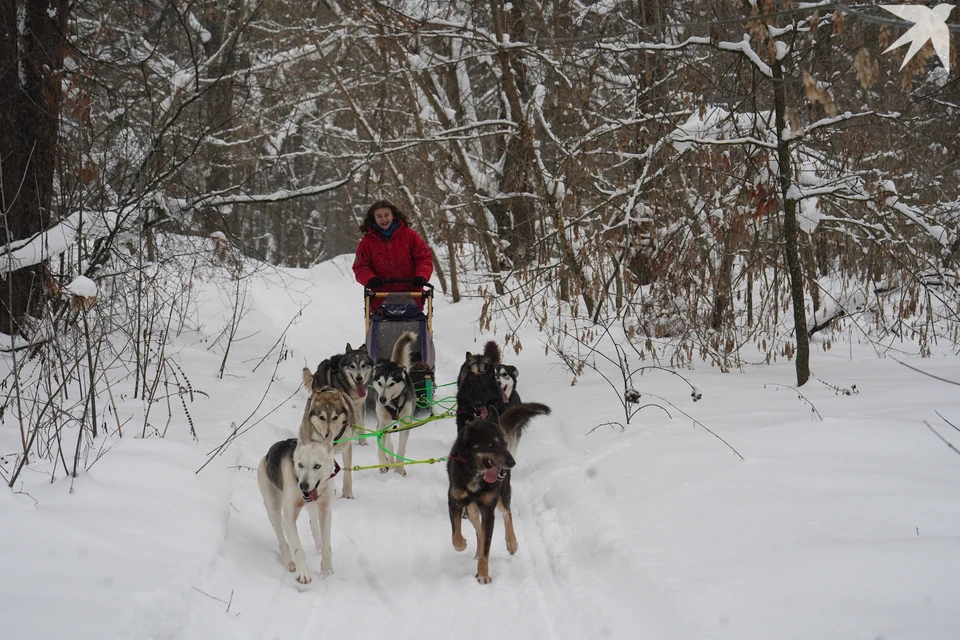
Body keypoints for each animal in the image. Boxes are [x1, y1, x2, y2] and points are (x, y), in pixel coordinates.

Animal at [256, 438, 340, 584]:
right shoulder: (288, 519)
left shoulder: (325, 511)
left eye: (317, 466)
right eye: (300, 465)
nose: (303, 485)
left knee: (314, 523)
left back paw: (318, 544)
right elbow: (297, 548)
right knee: (282, 540)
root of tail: (266, 456)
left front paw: (326, 569)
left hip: (312, 507)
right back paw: (289, 562)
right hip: (274, 510)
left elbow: (326, 545)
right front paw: (303, 573)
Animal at [370, 330, 418, 476]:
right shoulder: (382, 423)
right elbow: (381, 447)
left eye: (391, 384)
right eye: (380, 383)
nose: (382, 399)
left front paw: (399, 469)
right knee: (387, 442)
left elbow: (401, 449)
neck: (394, 403)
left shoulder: (405, 423)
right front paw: (383, 464)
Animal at [446, 404, 552, 584]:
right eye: (491, 444)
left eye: (505, 443)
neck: (476, 474)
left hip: (501, 498)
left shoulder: (489, 510)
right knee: (479, 530)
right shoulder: (455, 502)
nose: (512, 463)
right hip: (472, 511)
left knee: (506, 513)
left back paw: (511, 542)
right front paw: (463, 544)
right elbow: (456, 537)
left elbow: (486, 547)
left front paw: (483, 574)